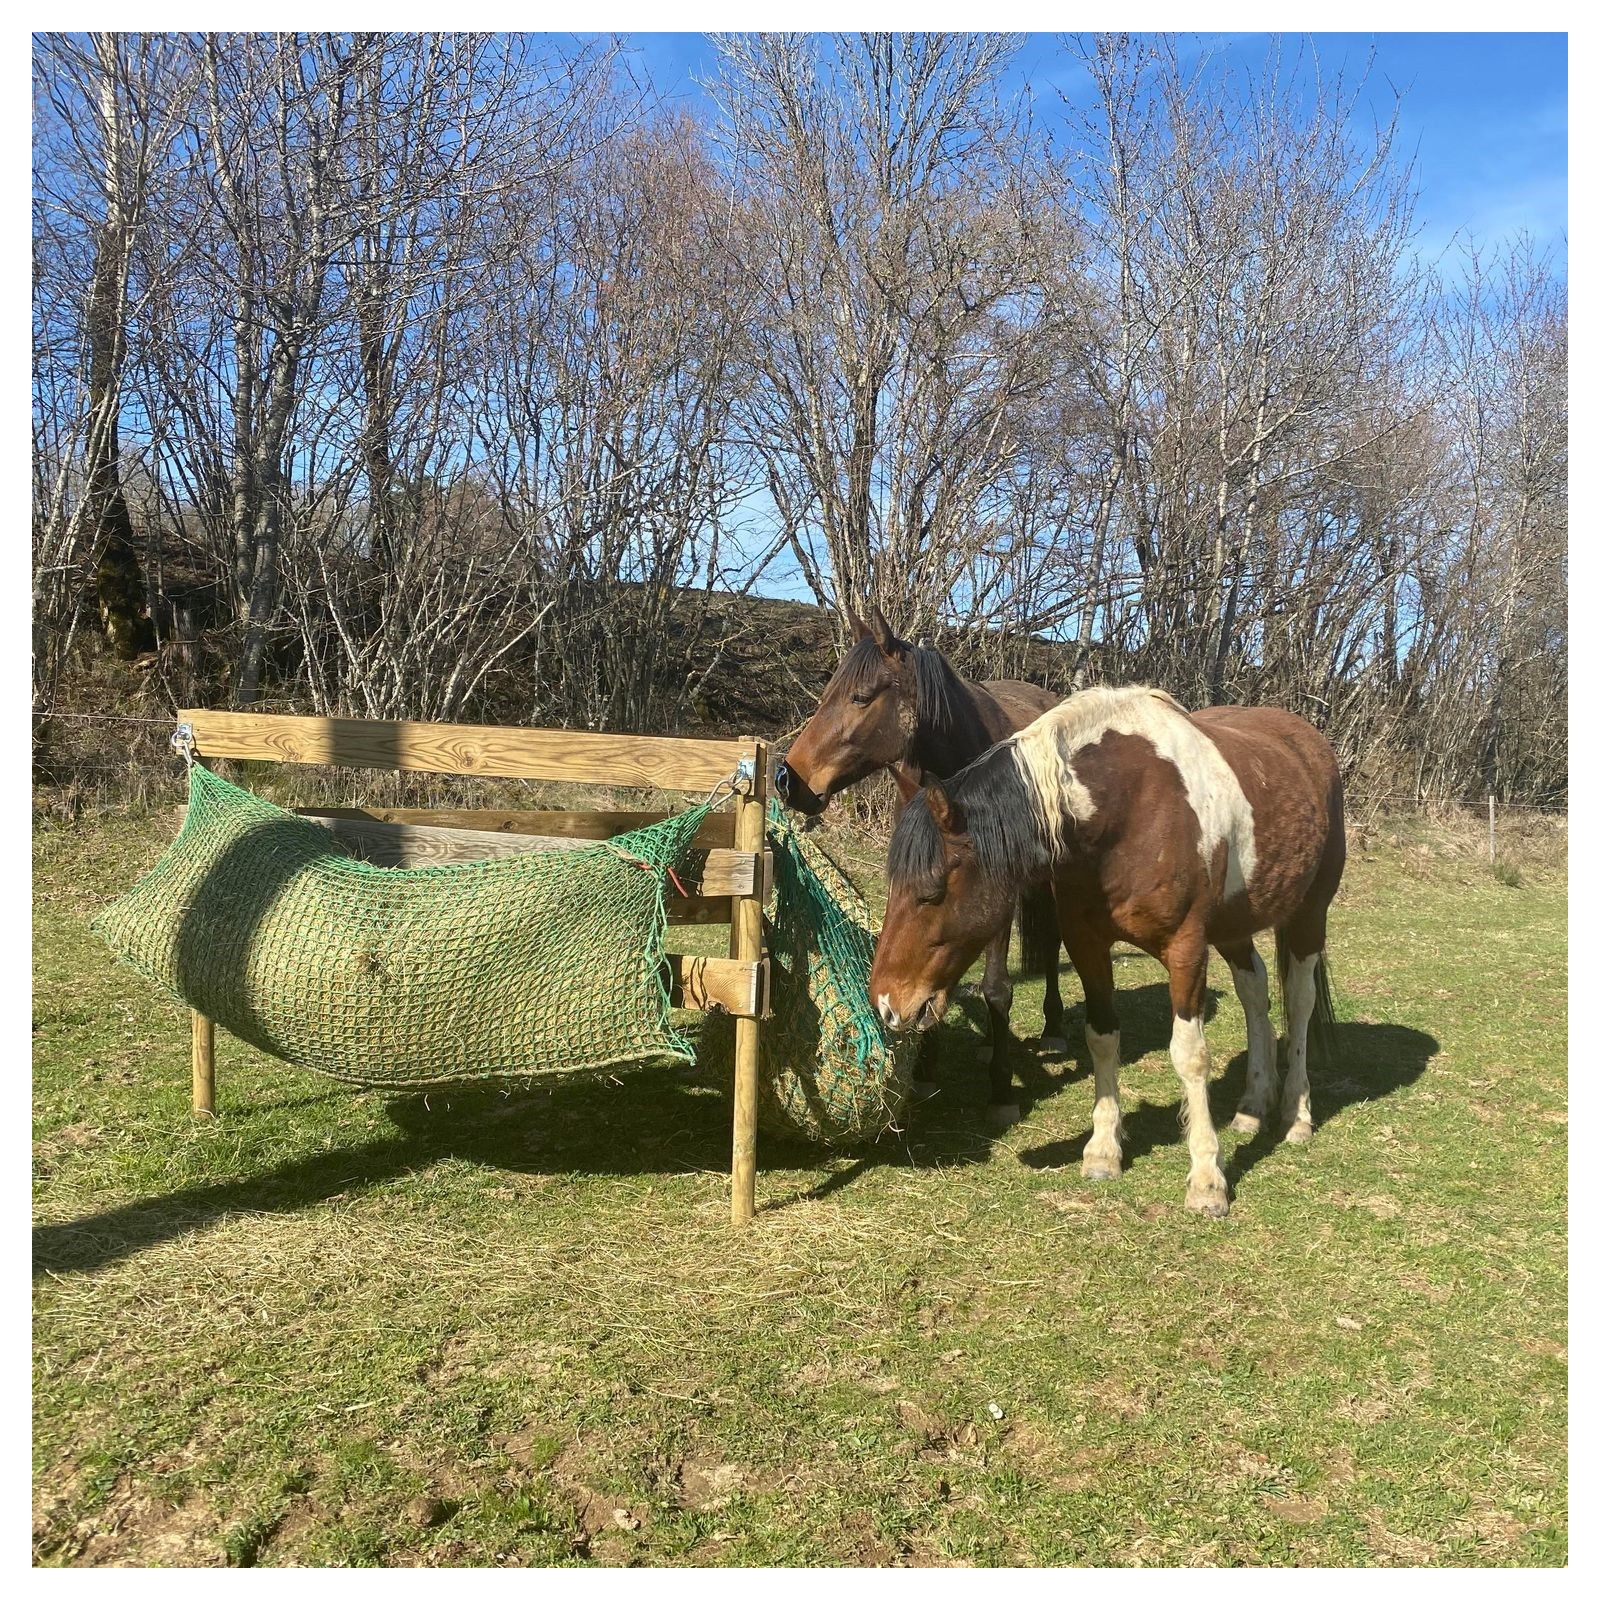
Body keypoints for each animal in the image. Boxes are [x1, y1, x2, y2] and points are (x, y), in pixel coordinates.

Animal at [773, 606, 1068, 1128]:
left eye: (861, 697)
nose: (788, 778)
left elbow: (996, 988)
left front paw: (1001, 1091)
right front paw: (927, 1069)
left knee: (1050, 941)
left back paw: (1053, 1027)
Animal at [869, 685, 1345, 1218]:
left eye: (931, 893)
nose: (887, 1005)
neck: (1127, 808)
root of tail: (1311, 743)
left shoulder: (1186, 950)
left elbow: (1190, 1055)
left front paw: (1207, 1179)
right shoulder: (1087, 944)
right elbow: (1101, 1038)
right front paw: (1102, 1151)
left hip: (1309, 915)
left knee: (1299, 1003)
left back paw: (1296, 1114)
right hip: (1234, 925)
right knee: (1254, 990)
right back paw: (1252, 1106)